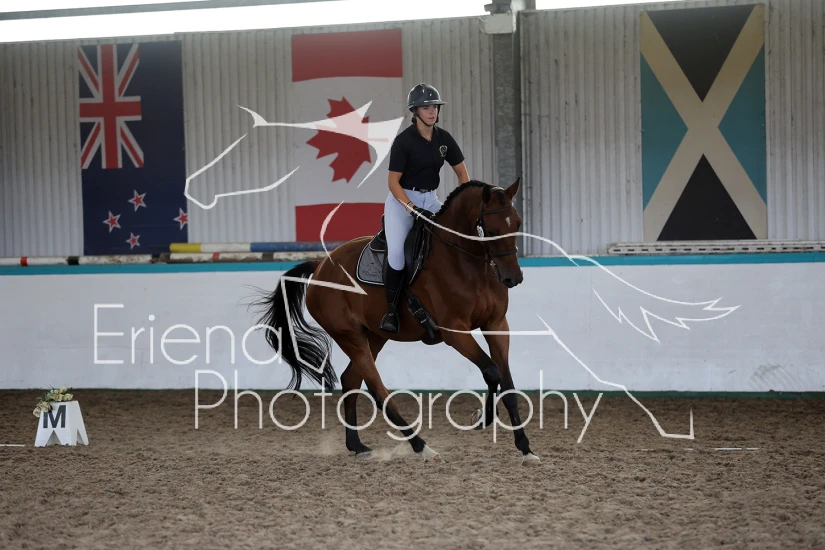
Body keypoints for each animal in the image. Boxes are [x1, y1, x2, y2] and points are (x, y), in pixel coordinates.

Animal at [253, 178, 540, 464]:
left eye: (517, 223)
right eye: (490, 230)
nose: (513, 278)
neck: (465, 261)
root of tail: (321, 265)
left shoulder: (497, 324)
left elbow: (507, 383)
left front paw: (525, 447)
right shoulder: (455, 332)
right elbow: (491, 371)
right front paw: (482, 418)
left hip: (375, 336)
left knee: (351, 380)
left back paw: (357, 445)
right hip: (349, 335)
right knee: (378, 390)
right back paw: (421, 447)